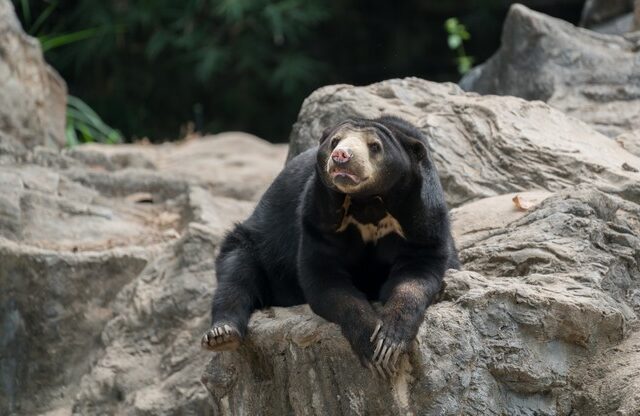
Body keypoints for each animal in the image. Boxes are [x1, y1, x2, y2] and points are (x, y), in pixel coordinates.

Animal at [202, 114, 458, 376]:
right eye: (335, 141)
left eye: (375, 146)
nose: (341, 156)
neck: (368, 204)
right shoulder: (318, 219)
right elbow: (326, 278)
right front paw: (370, 343)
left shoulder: (423, 221)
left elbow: (416, 274)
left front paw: (389, 342)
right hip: (254, 243)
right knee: (236, 275)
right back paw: (222, 334)